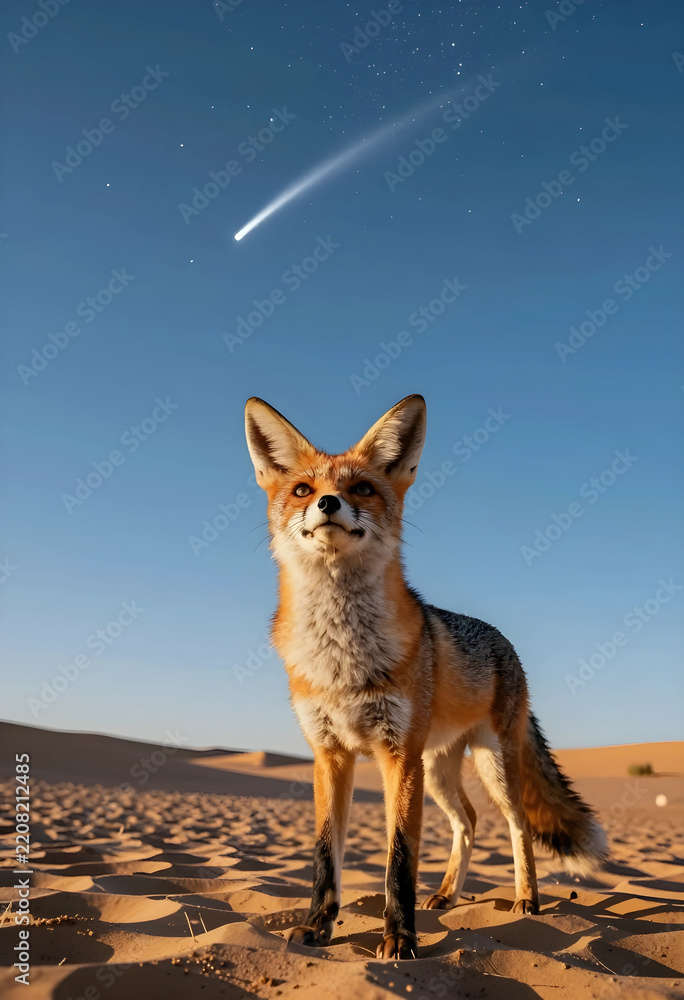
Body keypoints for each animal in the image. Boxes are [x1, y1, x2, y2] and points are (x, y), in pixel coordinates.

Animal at [244, 393, 607, 960]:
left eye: (362, 488)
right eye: (303, 489)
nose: (328, 504)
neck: (342, 660)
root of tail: (504, 642)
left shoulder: (398, 755)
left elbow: (399, 859)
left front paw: (400, 939)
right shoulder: (330, 755)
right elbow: (326, 857)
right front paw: (318, 928)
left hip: (490, 764)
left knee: (519, 825)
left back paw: (527, 900)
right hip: (438, 769)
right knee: (469, 821)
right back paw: (447, 895)